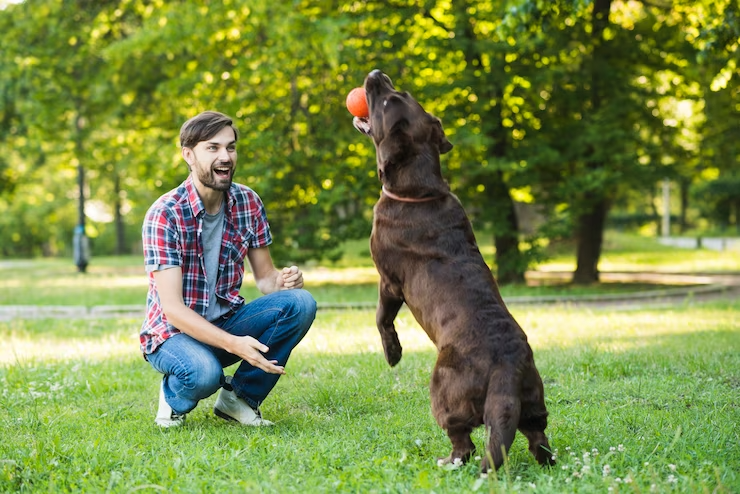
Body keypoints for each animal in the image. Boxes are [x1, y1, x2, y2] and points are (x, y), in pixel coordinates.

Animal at [352, 69, 556, 470]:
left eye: (386, 100)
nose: (377, 73)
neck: (418, 191)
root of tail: (507, 367)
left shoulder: (389, 281)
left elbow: (382, 318)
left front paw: (393, 354)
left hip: (444, 389)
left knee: (464, 442)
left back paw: (448, 461)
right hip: (533, 399)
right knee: (536, 436)